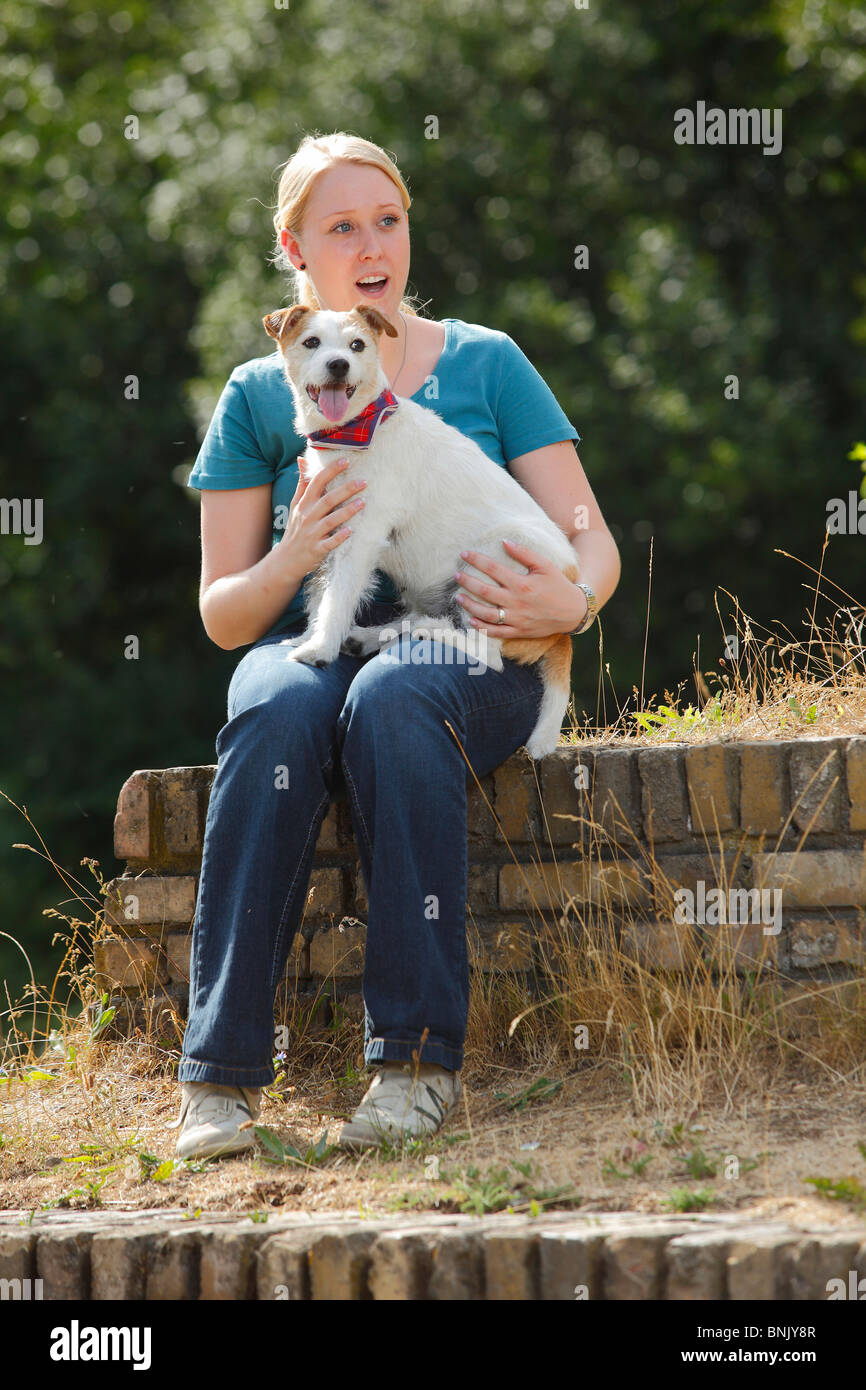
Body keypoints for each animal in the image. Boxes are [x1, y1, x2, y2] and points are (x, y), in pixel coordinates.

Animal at [261, 304, 578, 761]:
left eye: (357, 345)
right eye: (311, 342)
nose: (338, 365)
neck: (356, 431)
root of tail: (560, 632)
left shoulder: (362, 537)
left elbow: (338, 598)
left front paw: (318, 650)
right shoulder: (328, 529)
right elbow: (323, 595)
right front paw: (312, 637)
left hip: (490, 564)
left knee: (488, 654)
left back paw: (430, 633)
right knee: (422, 619)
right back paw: (378, 635)